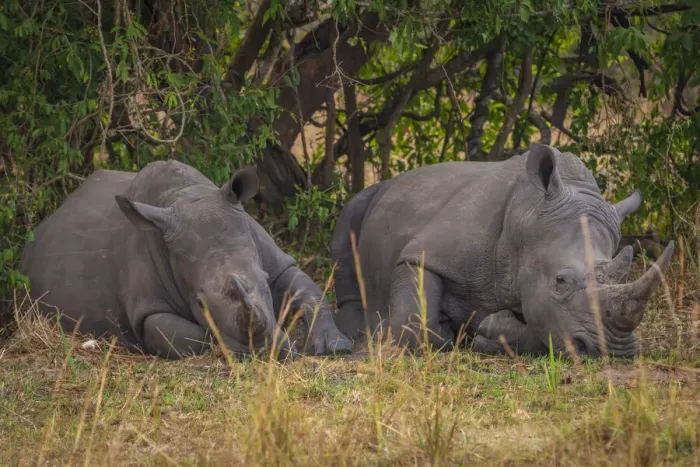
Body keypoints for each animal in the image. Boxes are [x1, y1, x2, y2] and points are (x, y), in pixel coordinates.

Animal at [20, 160, 352, 359]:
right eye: (200, 304)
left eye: (264, 282)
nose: (261, 349)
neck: (187, 195)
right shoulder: (148, 308)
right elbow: (195, 335)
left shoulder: (275, 259)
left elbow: (308, 291)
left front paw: (336, 346)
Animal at [331, 144, 674, 357]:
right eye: (560, 281)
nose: (613, 349)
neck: (525, 218)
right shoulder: (426, 253)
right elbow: (415, 322)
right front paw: (448, 329)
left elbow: (545, 327)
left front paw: (487, 331)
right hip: (374, 194)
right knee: (349, 218)